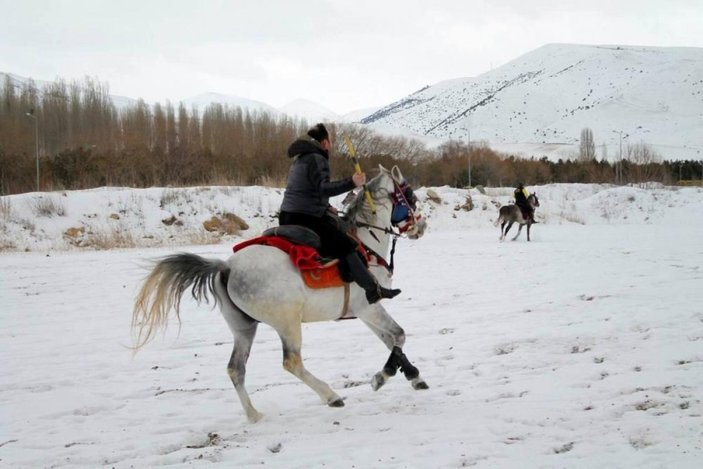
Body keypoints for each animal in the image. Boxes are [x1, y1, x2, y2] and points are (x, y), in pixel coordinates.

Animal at [132, 166, 428, 422]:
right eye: (410, 195)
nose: (421, 226)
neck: (367, 244)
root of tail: (226, 267)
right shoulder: (369, 307)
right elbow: (399, 336)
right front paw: (382, 376)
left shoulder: (364, 312)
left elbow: (390, 341)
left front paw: (414, 376)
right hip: (287, 323)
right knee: (291, 361)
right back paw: (330, 395)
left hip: (243, 328)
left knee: (235, 369)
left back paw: (254, 415)